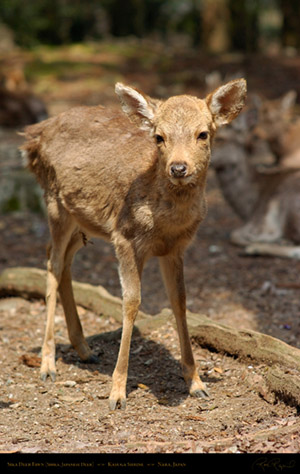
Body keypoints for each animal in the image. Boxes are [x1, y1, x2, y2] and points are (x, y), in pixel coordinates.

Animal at [20, 78, 246, 408]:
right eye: (159, 136)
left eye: (203, 133)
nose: (178, 168)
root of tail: (33, 136)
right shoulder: (124, 237)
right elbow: (132, 302)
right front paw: (117, 392)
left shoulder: (176, 248)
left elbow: (180, 301)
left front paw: (196, 382)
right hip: (54, 203)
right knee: (53, 264)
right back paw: (48, 364)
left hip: (83, 221)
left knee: (62, 260)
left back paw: (85, 350)